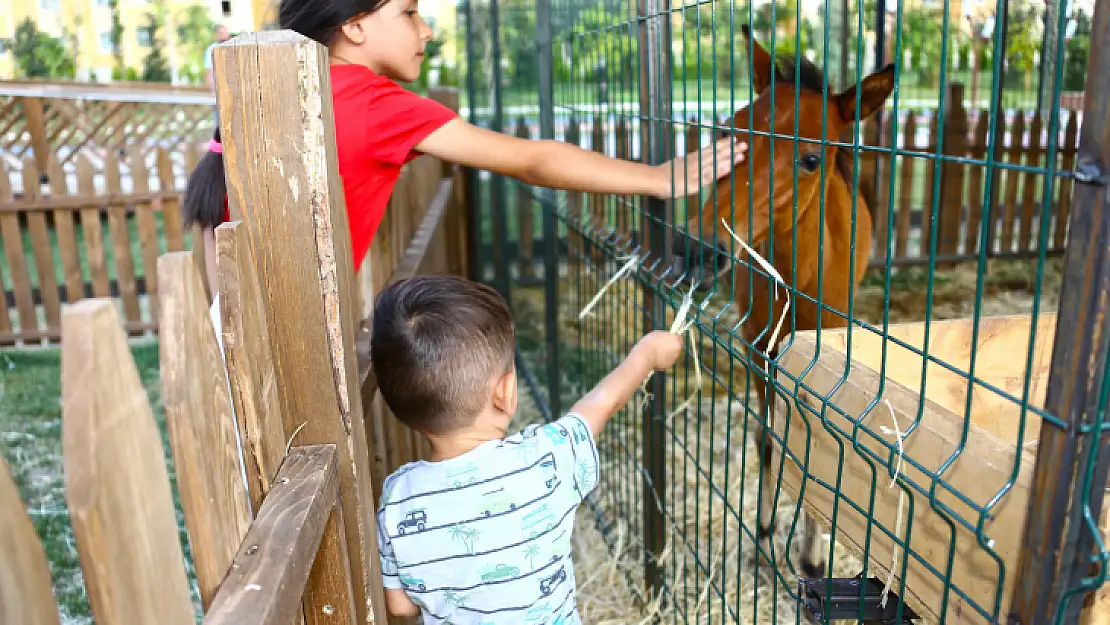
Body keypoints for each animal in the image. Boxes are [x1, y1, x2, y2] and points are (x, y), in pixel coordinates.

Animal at [670, 24, 896, 581]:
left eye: (811, 158)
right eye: (728, 130)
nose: (697, 248)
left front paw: (812, 558)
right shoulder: (757, 346)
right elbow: (769, 440)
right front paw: (764, 534)